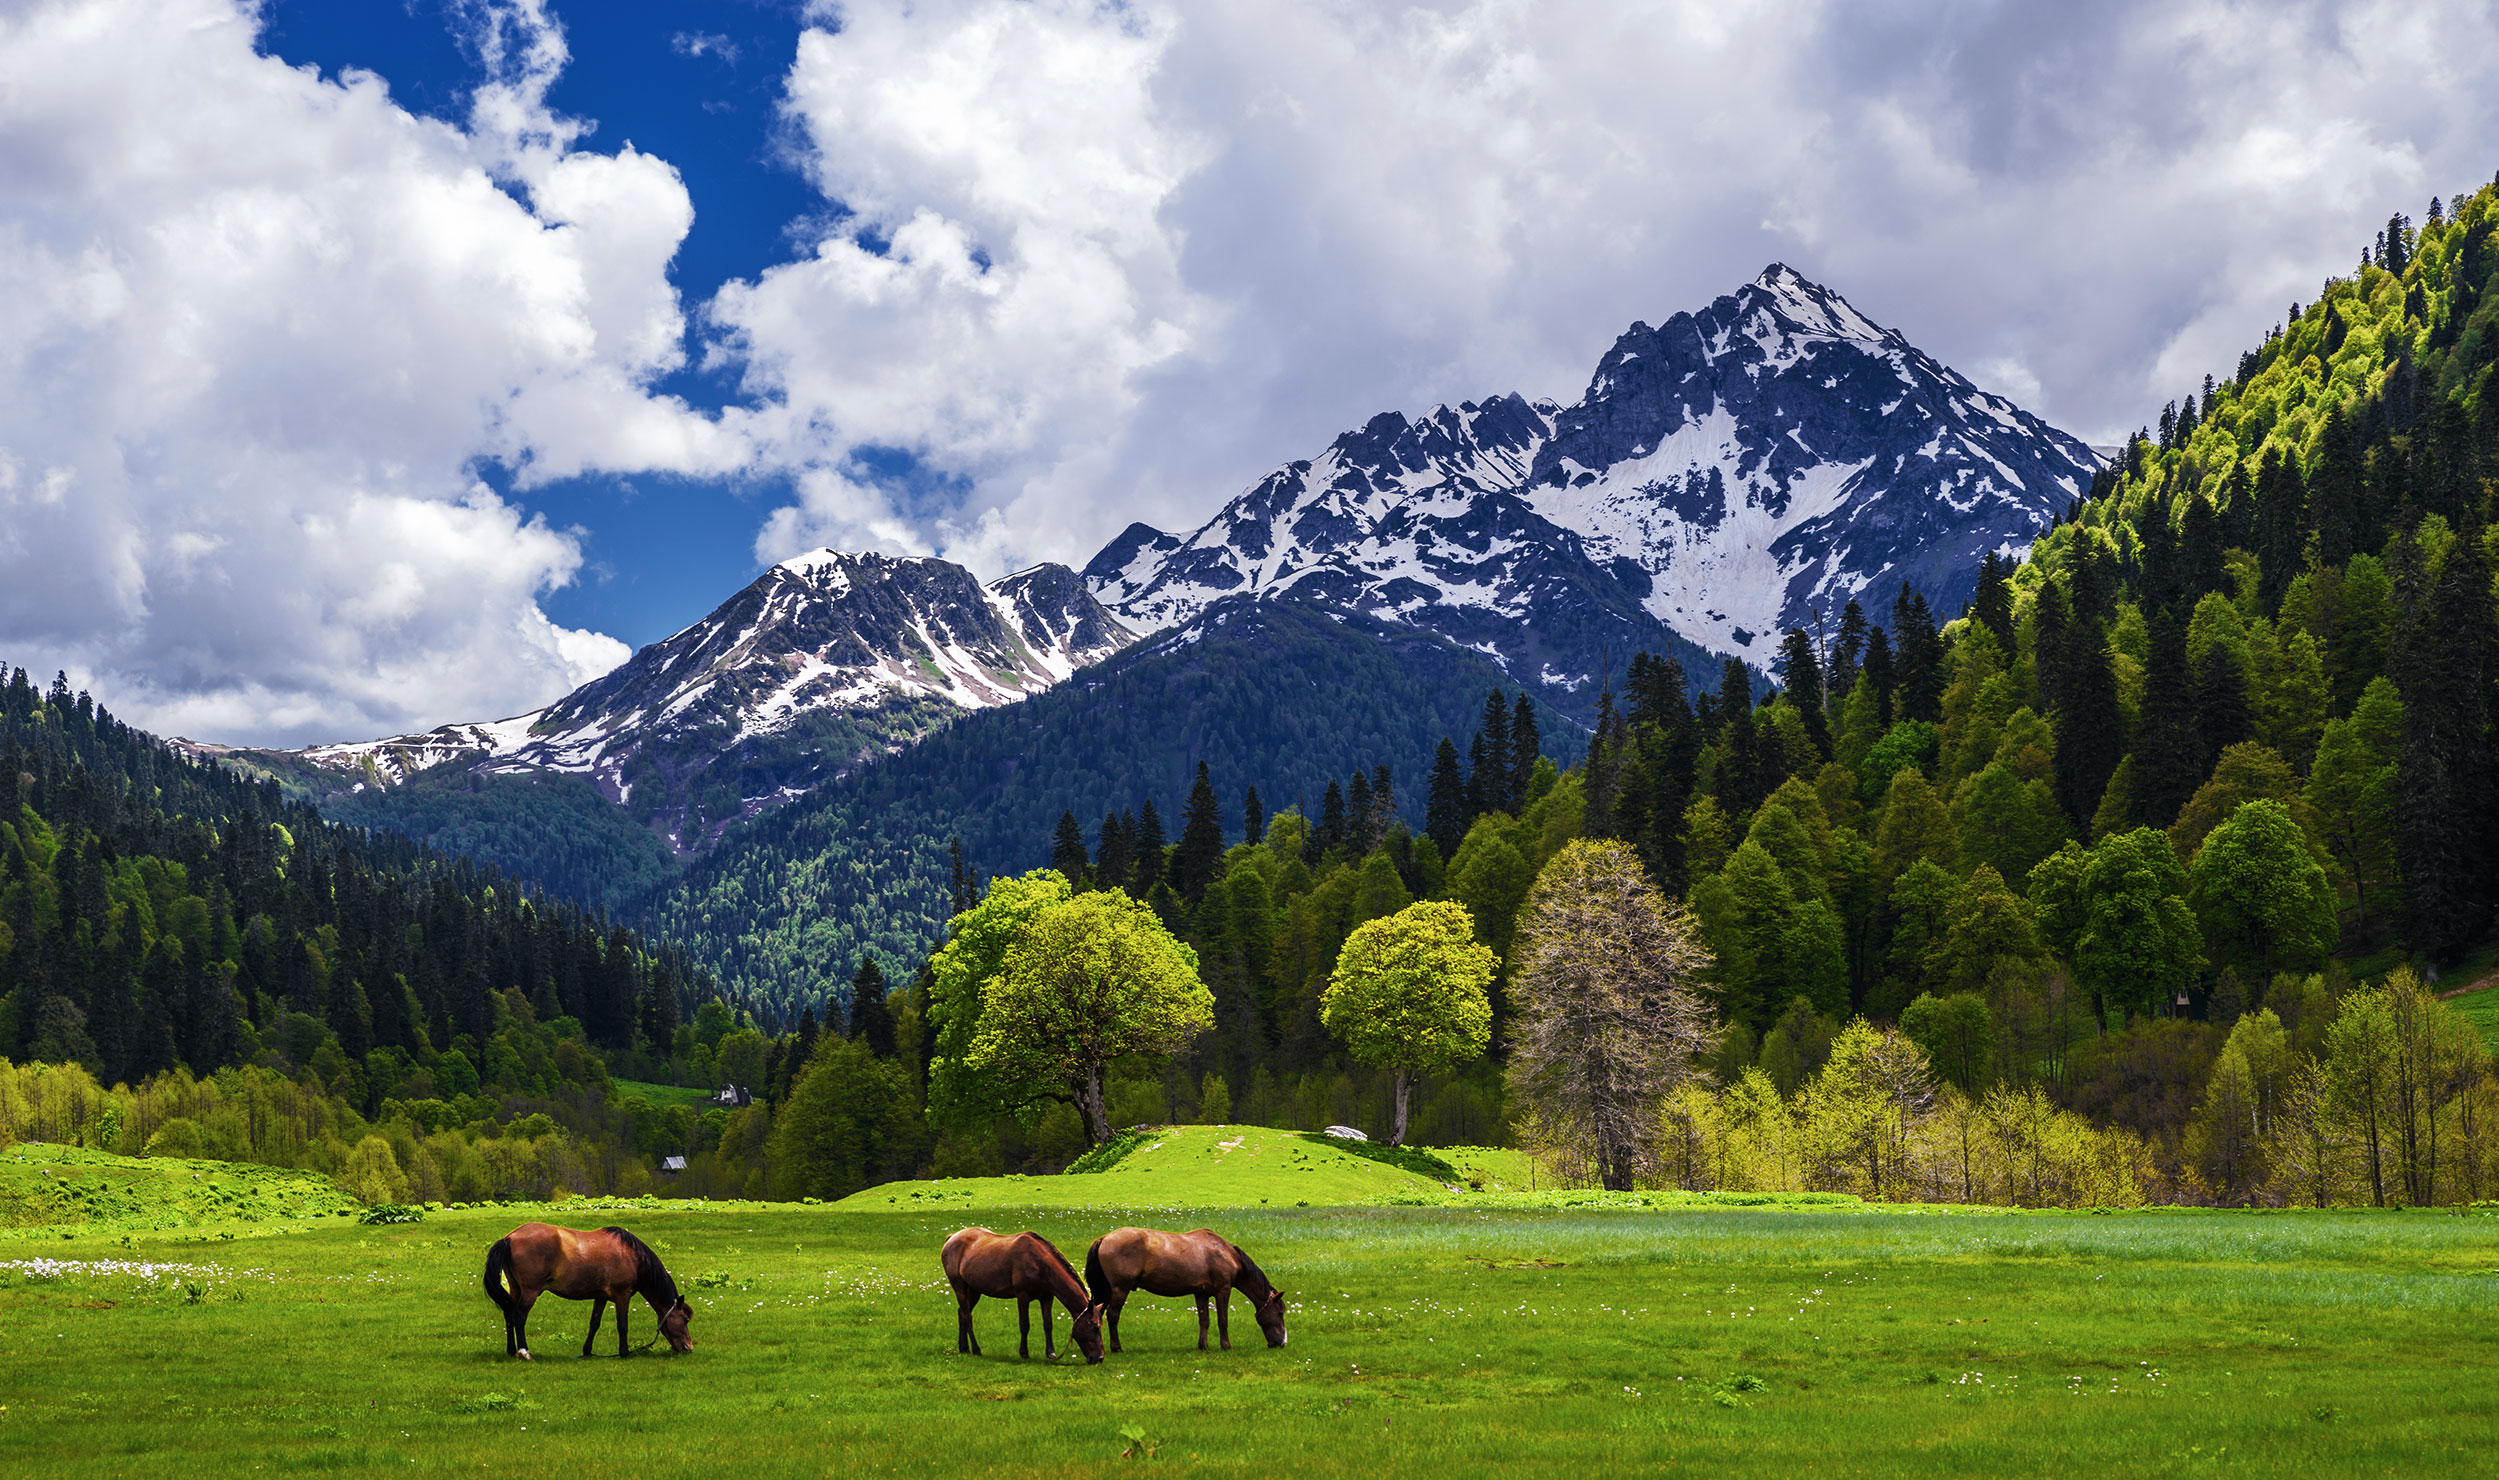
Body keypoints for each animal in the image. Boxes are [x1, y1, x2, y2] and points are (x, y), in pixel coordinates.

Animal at [482, 1225, 694, 1360]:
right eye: (684, 1320)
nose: (689, 1348)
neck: (632, 1256)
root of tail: (509, 1238)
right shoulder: (622, 1295)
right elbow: (622, 1325)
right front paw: (624, 1352)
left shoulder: (600, 1297)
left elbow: (594, 1324)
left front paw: (587, 1351)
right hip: (529, 1291)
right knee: (519, 1317)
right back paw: (524, 1352)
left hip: (515, 1289)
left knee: (509, 1315)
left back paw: (511, 1350)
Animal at [939, 1225, 1109, 1360]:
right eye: (1095, 1327)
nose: (1099, 1358)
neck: (1040, 1264)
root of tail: (951, 1238)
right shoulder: (1022, 1296)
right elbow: (1024, 1325)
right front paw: (1024, 1352)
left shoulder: (1047, 1297)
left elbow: (1048, 1324)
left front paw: (1051, 1353)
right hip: (959, 1286)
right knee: (967, 1316)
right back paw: (975, 1349)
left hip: (974, 1290)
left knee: (962, 1313)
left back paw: (963, 1348)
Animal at [1084, 1225, 1289, 1350]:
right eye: (1280, 1313)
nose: (1281, 1342)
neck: (1226, 1254)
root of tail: (1104, 1238)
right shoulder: (1223, 1291)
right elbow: (1222, 1320)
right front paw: (1226, 1346)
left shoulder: (1201, 1294)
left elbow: (1204, 1320)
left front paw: (1203, 1346)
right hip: (1120, 1289)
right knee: (1112, 1316)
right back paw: (1116, 1348)